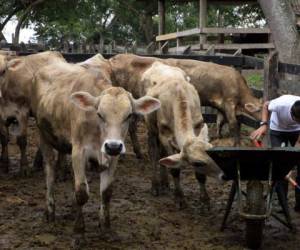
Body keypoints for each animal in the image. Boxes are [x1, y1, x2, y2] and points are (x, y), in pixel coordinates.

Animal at [31, 54, 161, 240]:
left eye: (129, 115)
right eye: (99, 114)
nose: (113, 146)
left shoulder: (112, 157)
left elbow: (106, 193)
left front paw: (105, 227)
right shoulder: (78, 152)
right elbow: (81, 193)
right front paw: (79, 231)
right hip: (44, 136)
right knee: (49, 173)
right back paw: (50, 211)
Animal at [109, 53, 262, 146]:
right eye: (260, 109)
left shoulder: (221, 106)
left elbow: (220, 122)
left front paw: (218, 137)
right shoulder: (229, 102)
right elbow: (233, 124)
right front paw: (236, 143)